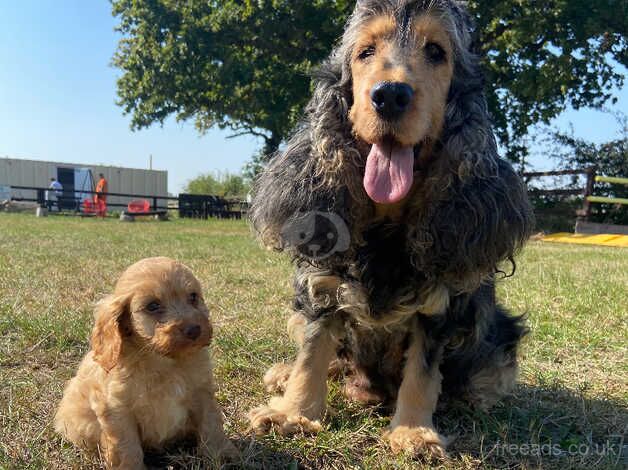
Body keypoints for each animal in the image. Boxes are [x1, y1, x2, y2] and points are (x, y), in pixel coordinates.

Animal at [53, 258, 236, 468]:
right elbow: (127, 447)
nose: (194, 330)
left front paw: (222, 455)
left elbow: (211, 424)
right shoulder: (117, 410)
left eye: (193, 297)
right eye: (152, 306)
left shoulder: (202, 391)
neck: (164, 361)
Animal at [248, 0, 532, 458]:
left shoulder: (439, 304)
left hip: (499, 329)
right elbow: (312, 352)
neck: (387, 225)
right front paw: (293, 413)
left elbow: (423, 372)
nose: (390, 95)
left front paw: (413, 432)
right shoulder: (320, 286)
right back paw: (283, 374)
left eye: (436, 51)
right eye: (365, 52)